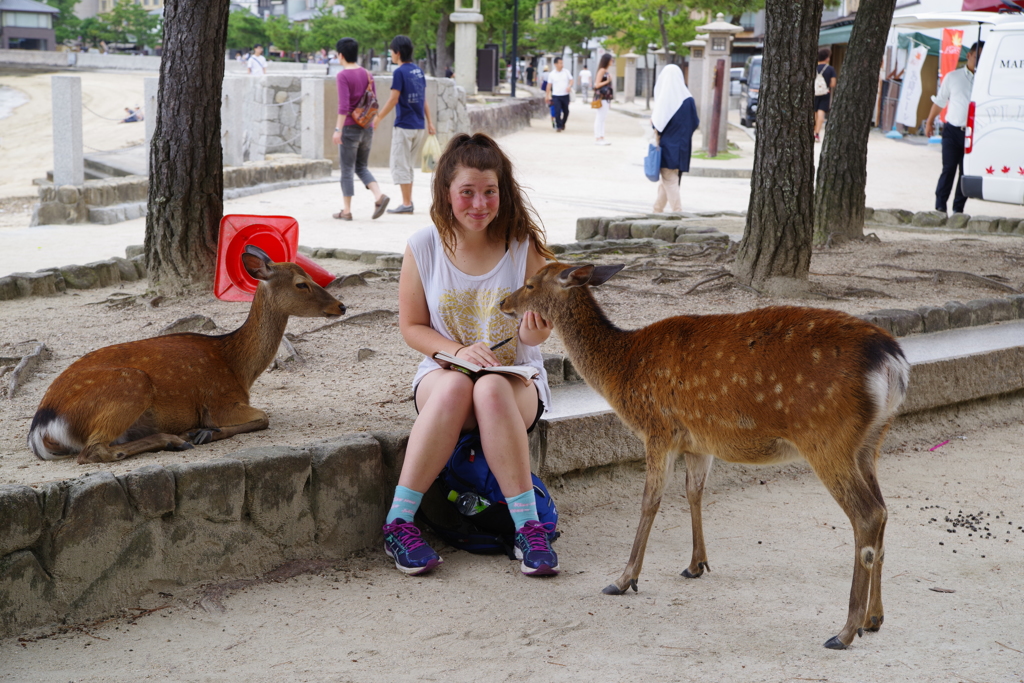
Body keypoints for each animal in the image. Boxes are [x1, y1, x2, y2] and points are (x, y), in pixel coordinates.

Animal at [27, 245, 348, 464]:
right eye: (301, 284)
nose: (341, 306)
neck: (239, 369)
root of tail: (42, 426)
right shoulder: (220, 400)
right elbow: (263, 417)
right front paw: (206, 431)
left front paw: (202, 432)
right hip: (130, 385)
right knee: (92, 451)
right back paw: (178, 439)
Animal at [499, 264, 909, 651]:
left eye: (531, 283)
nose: (504, 301)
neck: (623, 368)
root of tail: (893, 364)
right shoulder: (699, 441)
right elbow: (694, 492)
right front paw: (695, 564)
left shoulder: (658, 429)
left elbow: (650, 501)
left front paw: (624, 579)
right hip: (870, 442)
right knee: (884, 511)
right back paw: (874, 618)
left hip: (827, 437)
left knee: (867, 514)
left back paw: (844, 631)